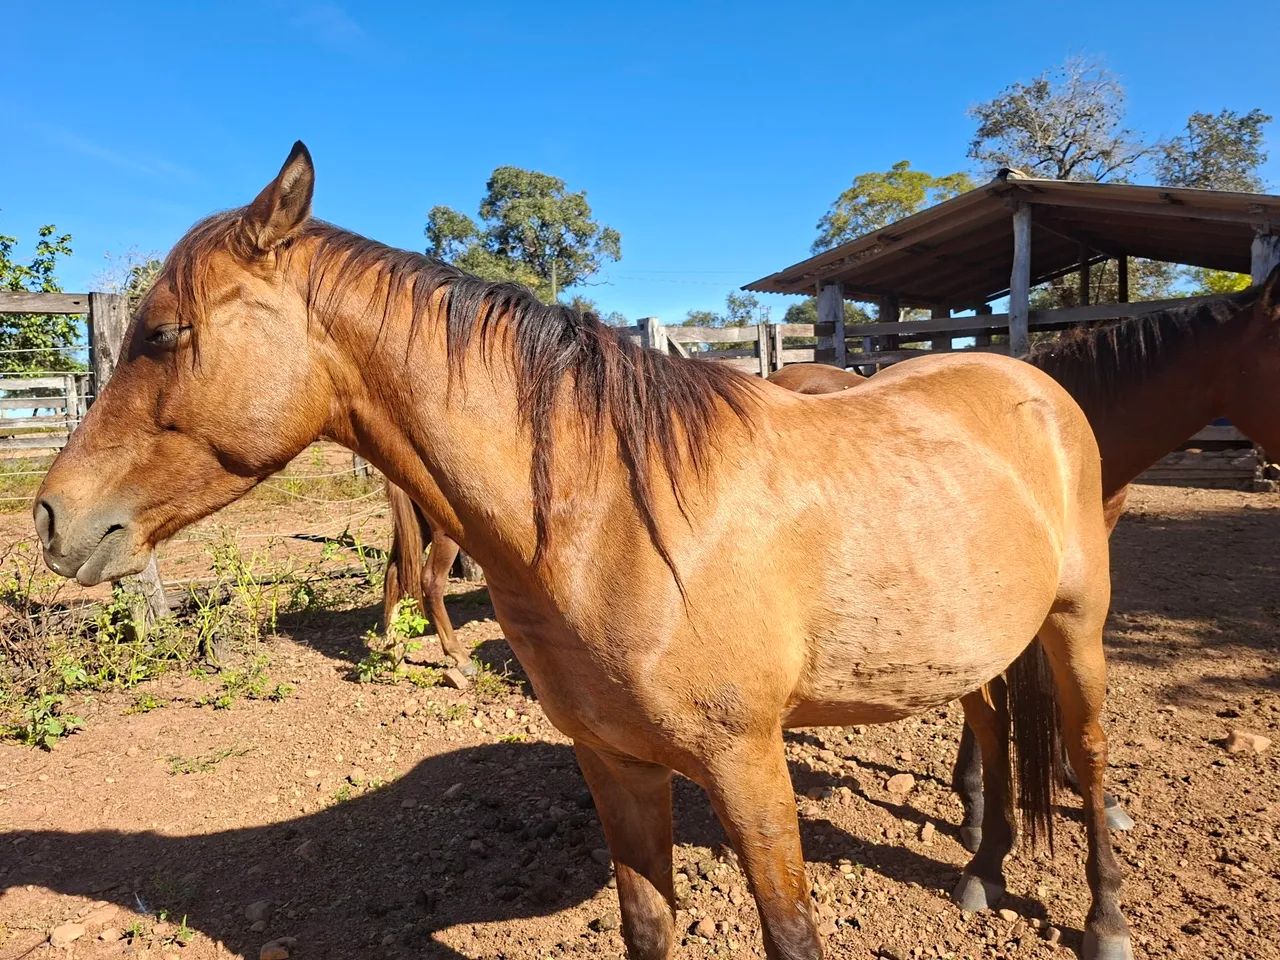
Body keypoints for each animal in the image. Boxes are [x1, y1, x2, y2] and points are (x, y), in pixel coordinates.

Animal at [34, 143, 1135, 960]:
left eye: (165, 333)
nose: (51, 518)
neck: (614, 523)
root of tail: (1028, 381)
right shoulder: (616, 764)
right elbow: (647, 924)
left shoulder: (748, 767)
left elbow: (789, 933)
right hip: (976, 642)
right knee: (993, 725)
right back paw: (980, 875)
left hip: (1075, 630)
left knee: (1085, 760)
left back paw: (1102, 924)